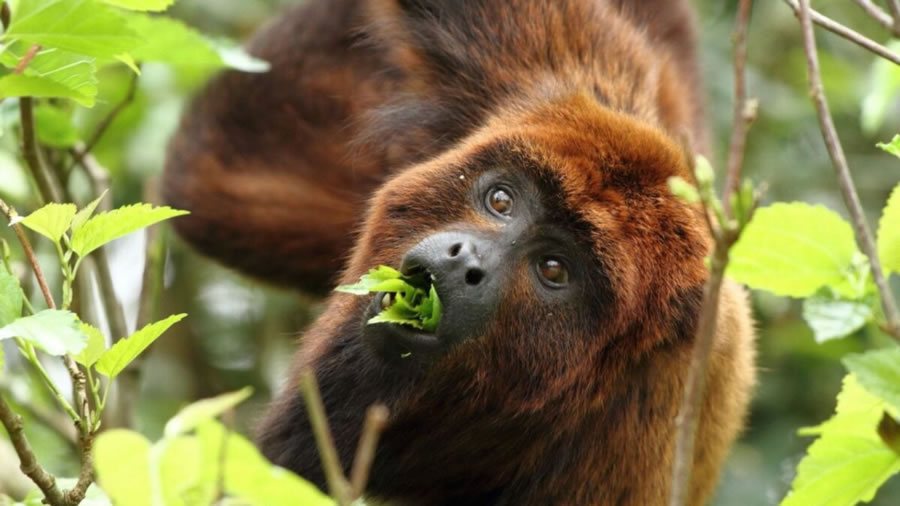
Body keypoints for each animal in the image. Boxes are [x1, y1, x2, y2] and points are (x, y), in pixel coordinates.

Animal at [163, 0, 756, 504]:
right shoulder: (549, 82)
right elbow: (219, 162)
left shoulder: (621, 451)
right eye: (501, 200)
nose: (462, 259)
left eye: (554, 269)